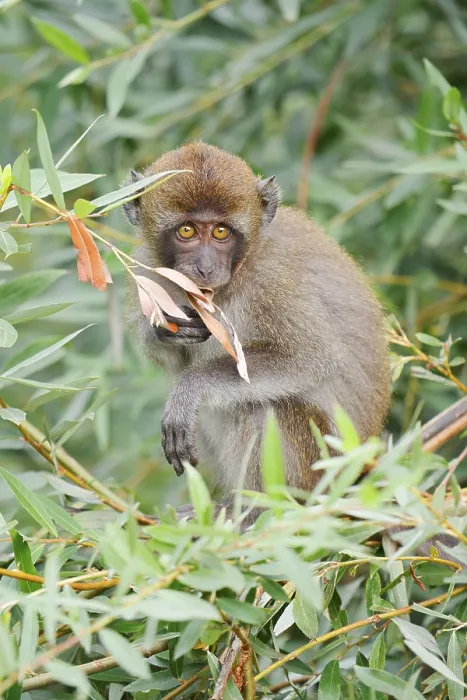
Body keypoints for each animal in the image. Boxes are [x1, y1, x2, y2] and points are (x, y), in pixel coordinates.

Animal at [122, 141, 391, 522]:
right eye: (187, 231)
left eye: (221, 232)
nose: (205, 267)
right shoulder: (147, 272)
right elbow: (172, 360)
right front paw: (161, 328)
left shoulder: (274, 281)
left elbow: (309, 358)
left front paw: (191, 388)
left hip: (319, 469)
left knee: (263, 406)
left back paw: (253, 510)